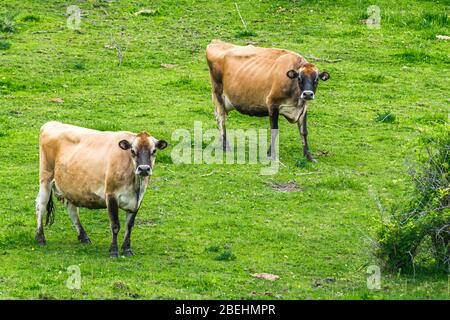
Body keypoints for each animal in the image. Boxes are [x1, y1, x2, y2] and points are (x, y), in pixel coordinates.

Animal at [35, 122, 168, 258]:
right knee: (41, 205)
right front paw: (113, 250)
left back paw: (83, 236)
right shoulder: (111, 195)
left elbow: (129, 226)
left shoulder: (138, 200)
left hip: (70, 187)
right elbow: (115, 225)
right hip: (46, 178)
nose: (144, 169)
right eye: (133, 151)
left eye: (154, 151)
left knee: (72, 210)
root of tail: (51, 123)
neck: (135, 185)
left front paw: (127, 249)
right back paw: (40, 237)